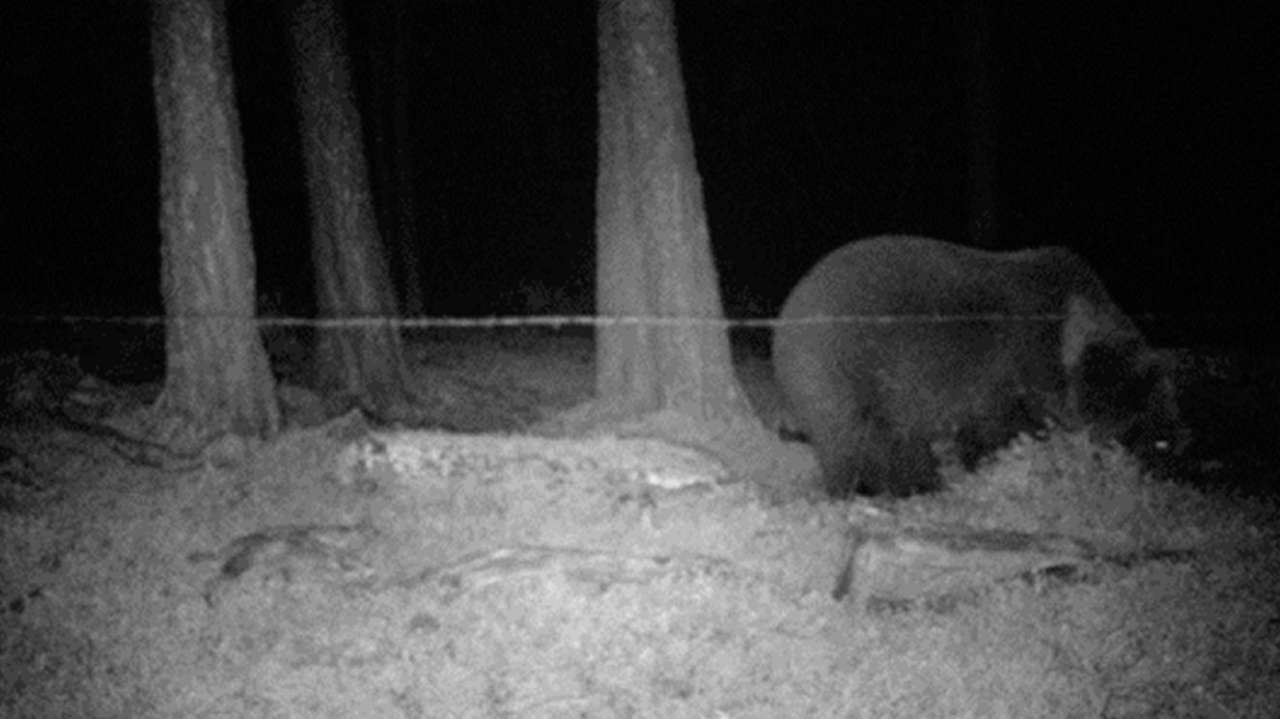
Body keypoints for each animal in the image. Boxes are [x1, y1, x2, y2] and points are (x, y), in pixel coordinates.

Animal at [762, 232, 1182, 496]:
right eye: (1149, 402)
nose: (1177, 444)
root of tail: (786, 315)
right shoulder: (1013, 370)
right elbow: (1000, 429)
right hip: (842, 367)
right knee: (851, 438)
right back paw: (866, 490)